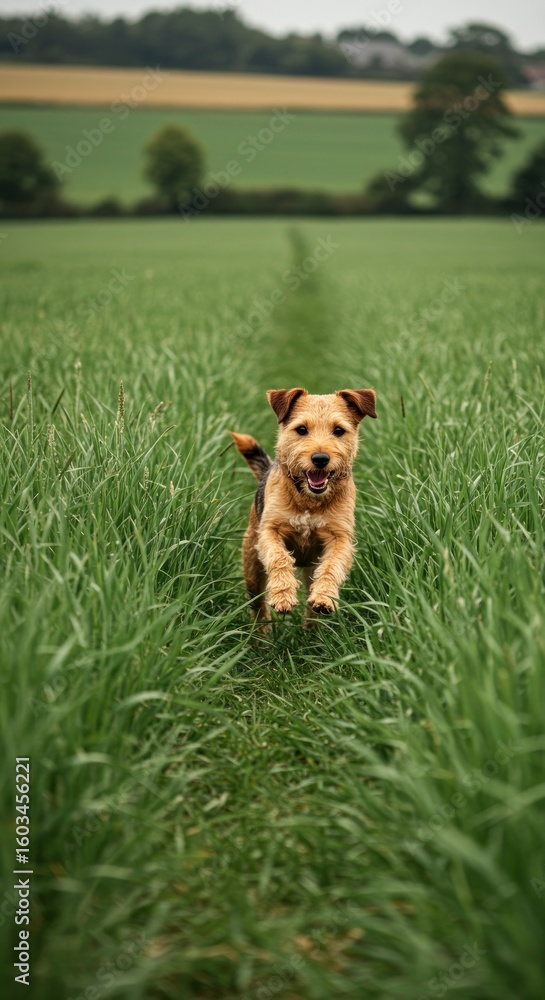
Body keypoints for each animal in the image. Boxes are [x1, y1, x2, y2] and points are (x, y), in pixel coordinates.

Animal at [231, 387, 377, 626]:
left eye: (338, 430)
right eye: (301, 429)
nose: (320, 458)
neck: (309, 501)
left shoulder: (340, 537)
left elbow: (332, 566)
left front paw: (324, 598)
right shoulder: (270, 530)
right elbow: (279, 558)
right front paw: (282, 597)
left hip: (310, 568)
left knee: (311, 603)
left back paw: (312, 626)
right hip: (252, 564)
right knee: (257, 603)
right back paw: (263, 632)